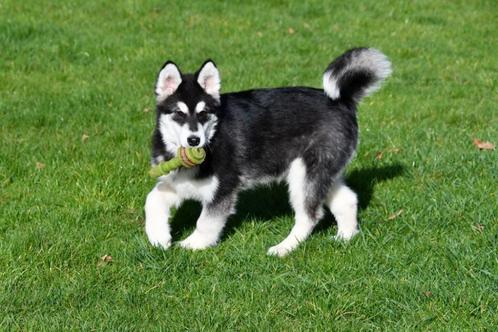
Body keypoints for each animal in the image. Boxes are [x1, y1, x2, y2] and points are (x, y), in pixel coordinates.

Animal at [146, 47, 392, 256]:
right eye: (178, 113)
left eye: (204, 113)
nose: (194, 140)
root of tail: (342, 101)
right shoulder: (175, 182)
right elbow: (152, 200)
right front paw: (158, 238)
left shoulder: (223, 190)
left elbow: (206, 221)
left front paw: (193, 244)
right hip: (323, 172)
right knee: (347, 199)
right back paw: (345, 237)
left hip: (303, 175)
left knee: (310, 216)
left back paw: (284, 248)